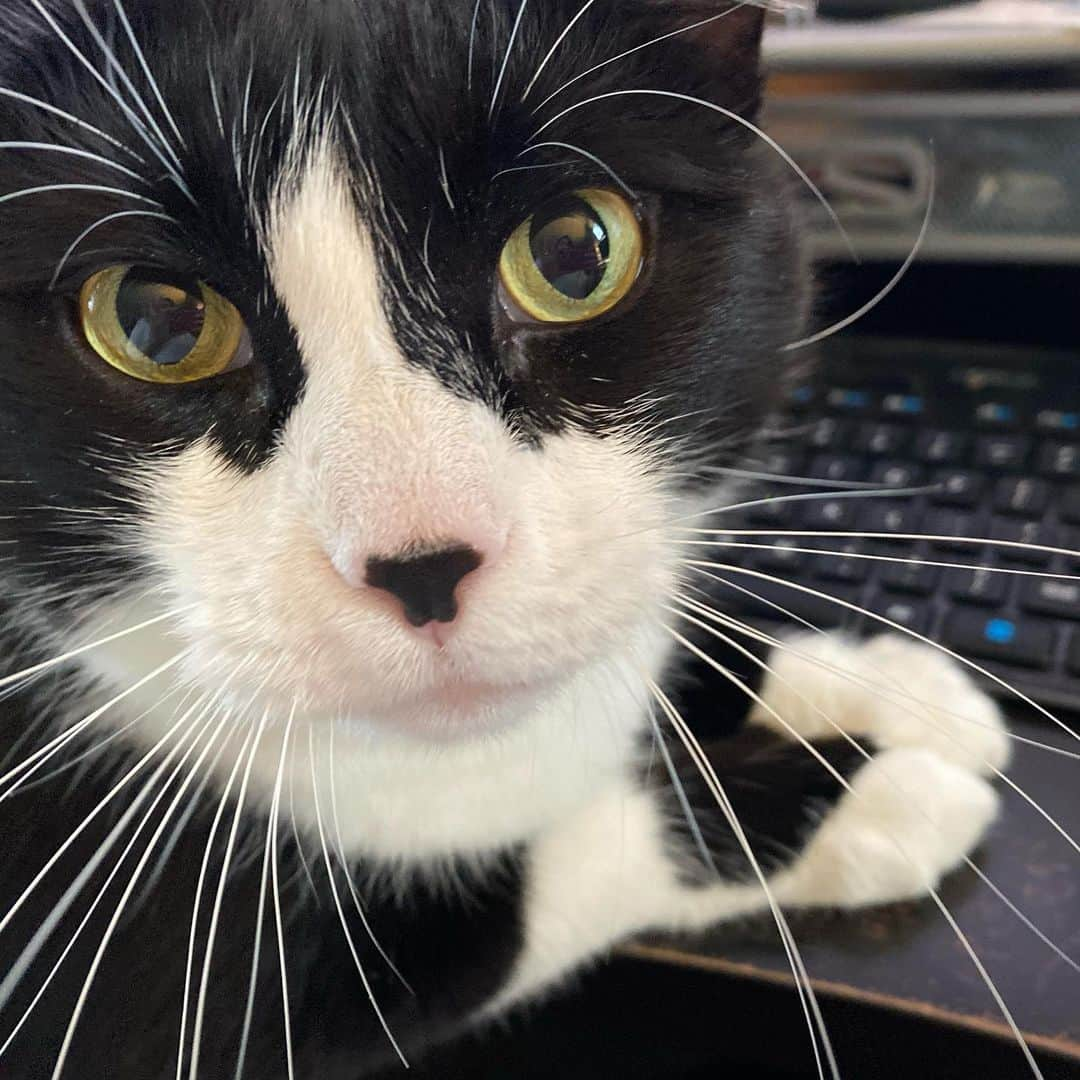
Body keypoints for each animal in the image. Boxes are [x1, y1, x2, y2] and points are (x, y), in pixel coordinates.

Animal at [0, 0, 1010, 1075]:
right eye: (153, 320)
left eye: (575, 253)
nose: (423, 566)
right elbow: (526, 887)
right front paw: (872, 795)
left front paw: (898, 689)